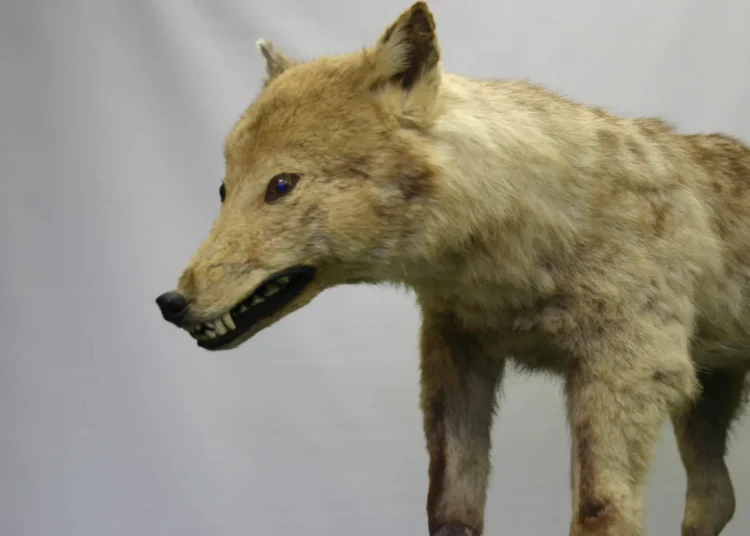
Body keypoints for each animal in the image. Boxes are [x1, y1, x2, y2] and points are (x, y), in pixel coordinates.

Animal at [155, 2, 750, 535]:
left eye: (281, 186)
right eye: (224, 190)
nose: (169, 303)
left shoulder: (627, 372)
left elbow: (601, 512)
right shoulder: (454, 354)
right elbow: (450, 506)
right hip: (706, 395)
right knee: (715, 499)